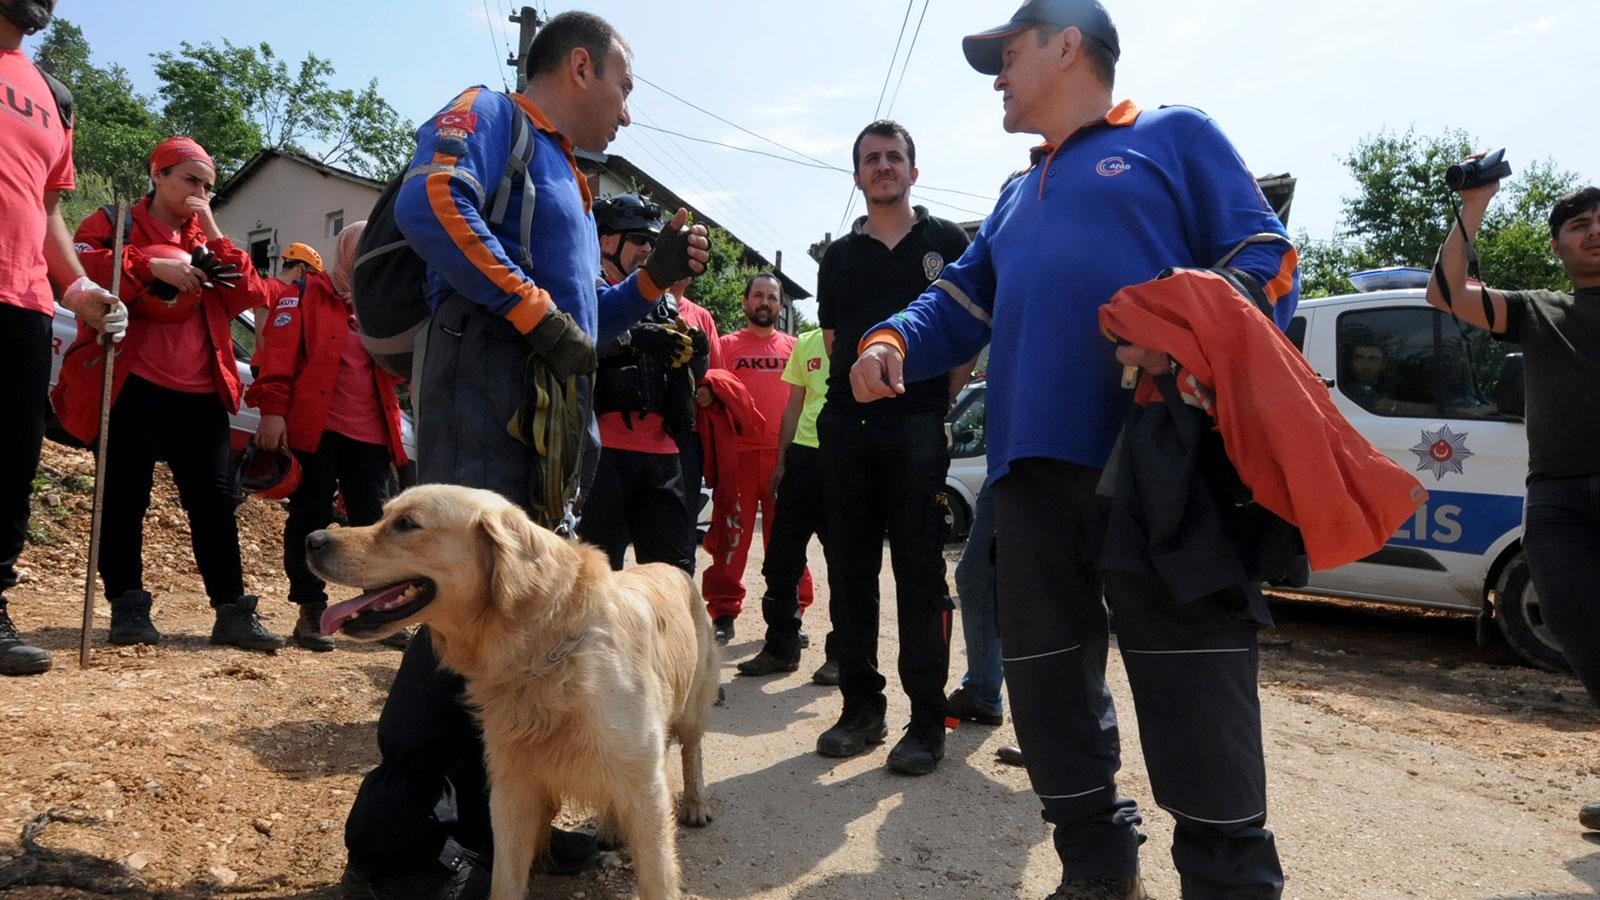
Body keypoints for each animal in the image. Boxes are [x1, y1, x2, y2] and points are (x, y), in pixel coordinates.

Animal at [307, 483, 720, 896]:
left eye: (407, 523)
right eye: (383, 516)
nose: (313, 539)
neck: (540, 653)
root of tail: (671, 566)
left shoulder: (644, 786)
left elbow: (657, 877)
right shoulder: (511, 788)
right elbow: (505, 879)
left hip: (691, 707)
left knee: (693, 750)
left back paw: (696, 804)